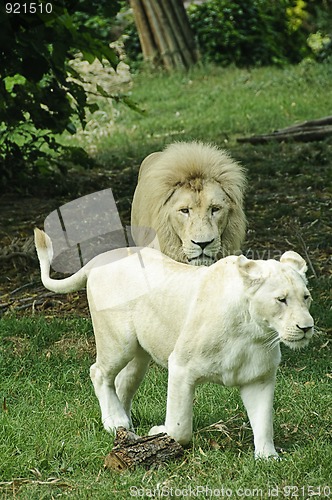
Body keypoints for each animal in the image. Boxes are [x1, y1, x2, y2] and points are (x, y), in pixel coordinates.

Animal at [34, 229, 314, 458]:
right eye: (281, 299)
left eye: (306, 297)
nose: (307, 327)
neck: (254, 332)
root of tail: (99, 258)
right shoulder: (181, 366)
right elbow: (180, 427)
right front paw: (160, 432)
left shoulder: (259, 378)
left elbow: (264, 422)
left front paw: (268, 458)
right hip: (118, 342)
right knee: (99, 373)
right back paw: (115, 421)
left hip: (138, 356)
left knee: (121, 382)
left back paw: (125, 425)